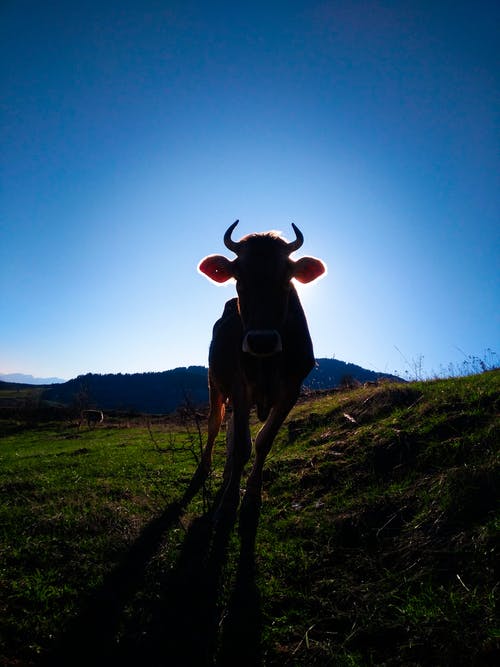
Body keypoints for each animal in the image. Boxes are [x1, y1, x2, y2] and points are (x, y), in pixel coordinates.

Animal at [197, 220, 326, 520]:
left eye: (287, 278)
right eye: (238, 278)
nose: (262, 340)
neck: (268, 362)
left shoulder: (292, 389)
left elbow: (263, 441)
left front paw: (252, 496)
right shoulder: (239, 386)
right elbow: (242, 445)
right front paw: (229, 502)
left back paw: (227, 474)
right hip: (215, 384)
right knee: (215, 424)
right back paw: (206, 468)